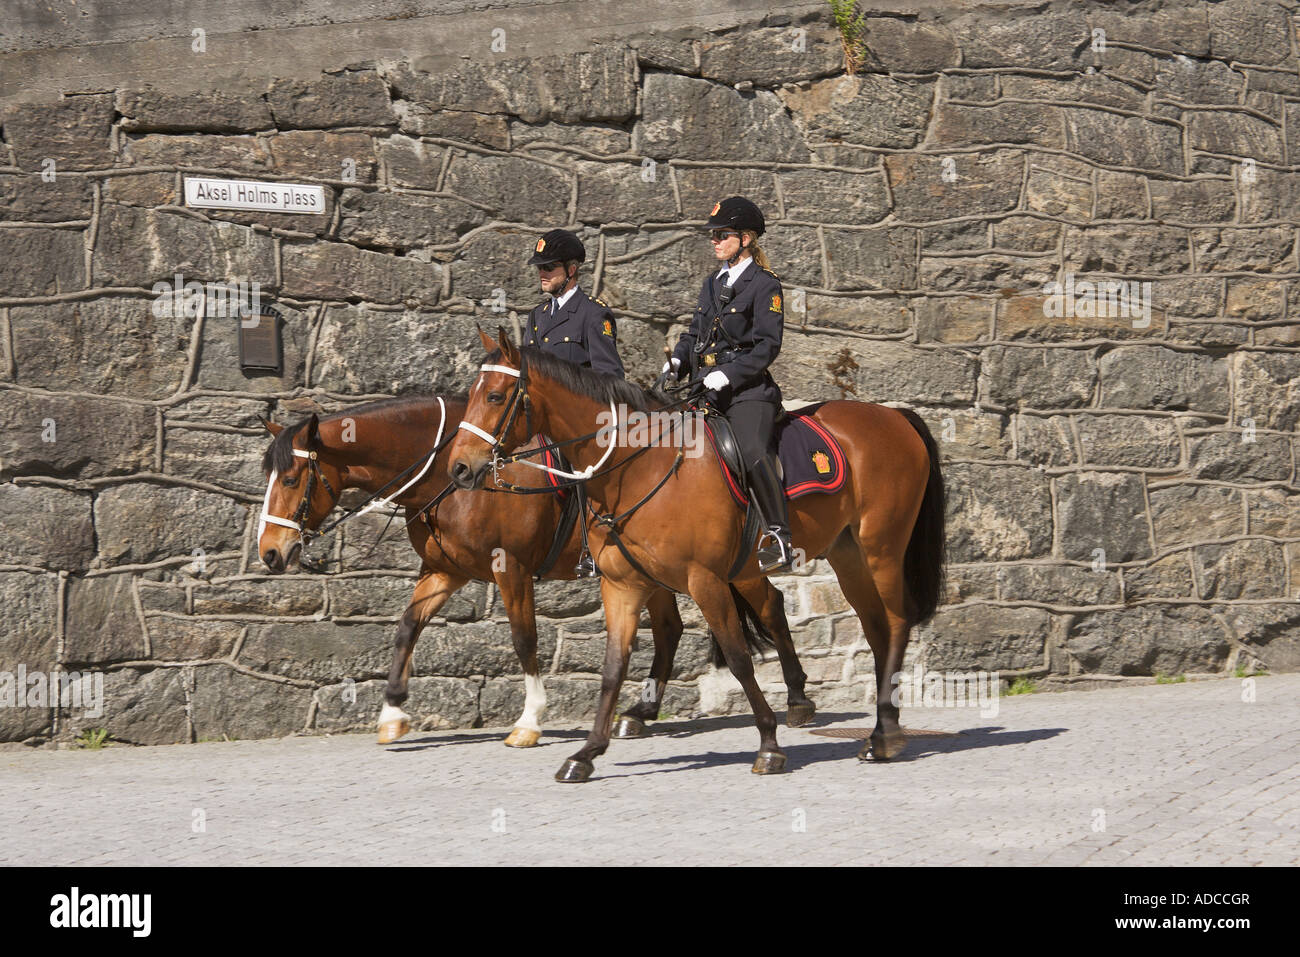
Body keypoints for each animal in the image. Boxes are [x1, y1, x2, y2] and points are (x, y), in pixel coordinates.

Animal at [253, 395, 811, 748]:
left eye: (292, 476)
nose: (270, 553)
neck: (452, 477)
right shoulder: (444, 572)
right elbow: (407, 627)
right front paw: (392, 712)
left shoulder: (512, 571)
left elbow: (524, 639)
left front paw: (530, 720)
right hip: (649, 573)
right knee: (671, 629)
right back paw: (641, 713)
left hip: (731, 567)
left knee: (770, 605)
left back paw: (798, 697)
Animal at [447, 332, 946, 780]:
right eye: (470, 396)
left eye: (495, 395)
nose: (459, 468)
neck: (637, 464)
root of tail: (894, 416)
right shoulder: (623, 586)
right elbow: (613, 668)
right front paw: (586, 753)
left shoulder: (705, 581)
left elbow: (739, 659)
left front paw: (768, 745)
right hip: (848, 556)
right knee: (874, 627)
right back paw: (877, 726)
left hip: (881, 549)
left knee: (896, 621)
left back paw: (882, 734)